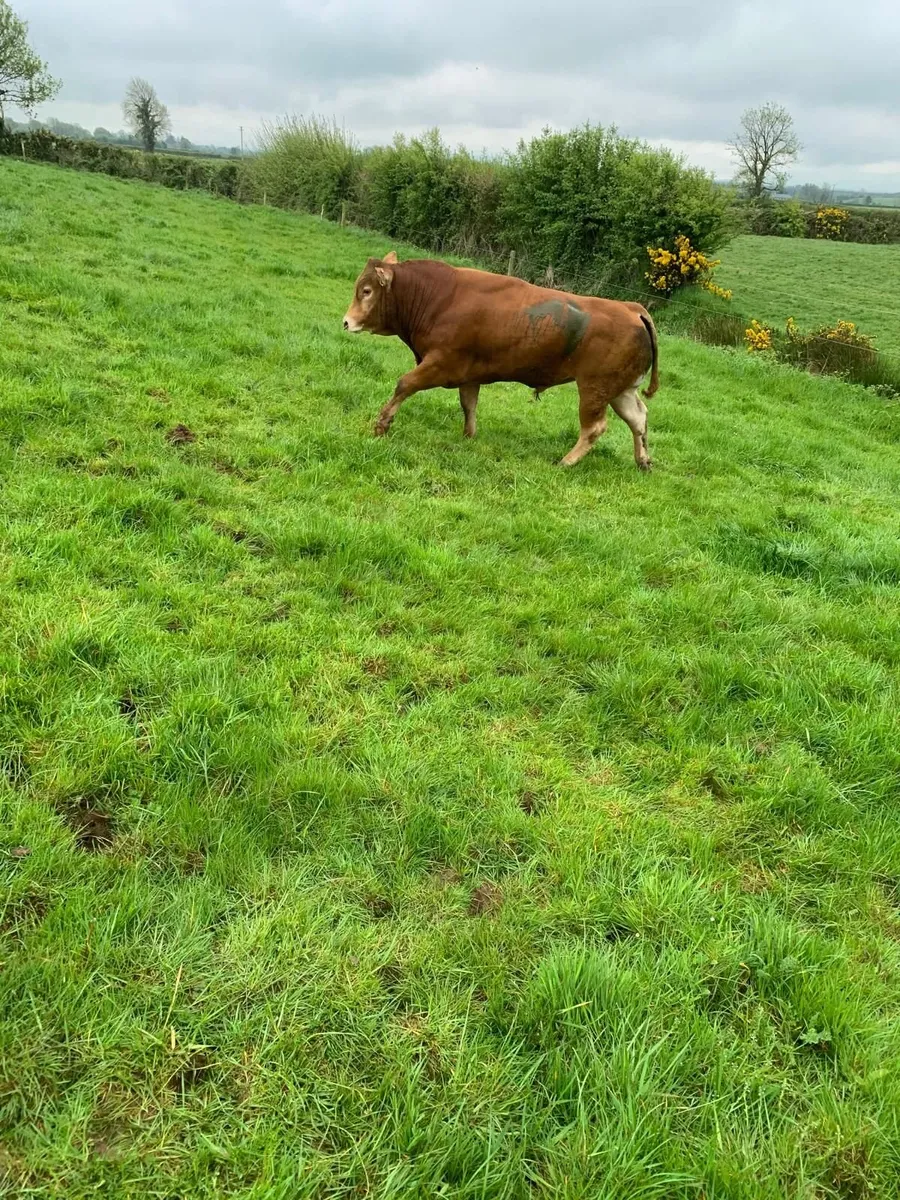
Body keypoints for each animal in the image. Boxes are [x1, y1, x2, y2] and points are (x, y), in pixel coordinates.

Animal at [342, 252, 659, 470]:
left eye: (366, 291)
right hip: (619, 391)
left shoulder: (440, 364)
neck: (440, 297)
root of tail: (632, 309)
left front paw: (383, 423)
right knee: (638, 418)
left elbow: (404, 384)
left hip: (594, 389)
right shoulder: (468, 375)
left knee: (594, 428)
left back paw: (567, 461)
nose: (346, 322)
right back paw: (642, 460)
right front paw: (468, 436)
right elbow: (468, 405)